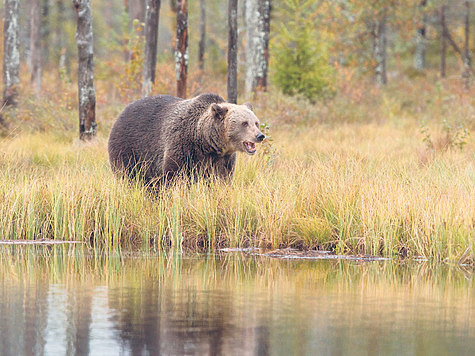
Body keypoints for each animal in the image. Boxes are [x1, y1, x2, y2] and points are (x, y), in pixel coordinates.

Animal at [107, 93, 264, 182]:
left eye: (256, 122)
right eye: (244, 123)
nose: (260, 135)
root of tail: (122, 112)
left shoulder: (223, 160)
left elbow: (221, 179)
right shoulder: (182, 146)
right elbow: (174, 175)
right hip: (130, 148)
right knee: (128, 174)